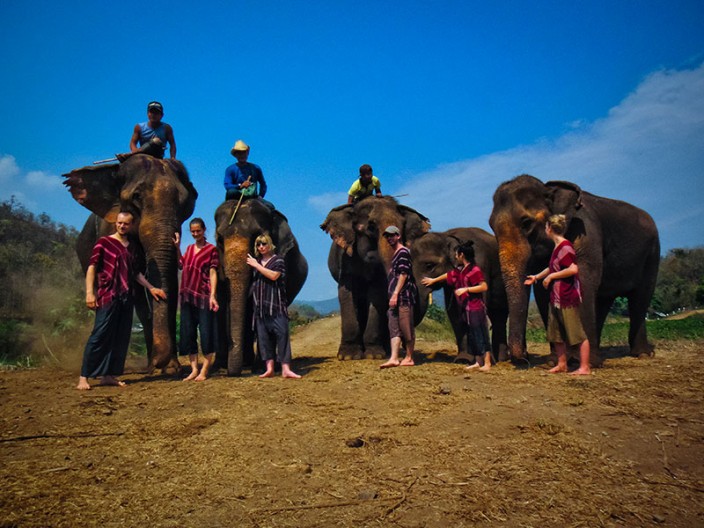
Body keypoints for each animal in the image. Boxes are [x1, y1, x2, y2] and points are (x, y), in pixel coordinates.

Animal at [63, 153, 197, 372]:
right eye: (137, 197)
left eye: (185, 203)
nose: (160, 362)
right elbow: (138, 290)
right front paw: (157, 367)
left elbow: (168, 279)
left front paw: (171, 367)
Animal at [212, 197, 306, 376]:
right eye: (219, 240)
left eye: (257, 236)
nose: (231, 373)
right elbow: (222, 304)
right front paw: (220, 365)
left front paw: (260, 367)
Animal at [324, 196, 432, 360]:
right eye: (371, 227)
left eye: (402, 225)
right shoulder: (346, 258)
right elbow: (346, 293)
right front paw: (348, 357)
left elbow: (377, 294)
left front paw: (374, 356)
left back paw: (386, 350)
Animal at [410, 227, 508, 364]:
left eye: (429, 265)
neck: (446, 236)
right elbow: (454, 312)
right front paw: (463, 359)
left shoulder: (480, 263)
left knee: (500, 315)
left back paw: (501, 359)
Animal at [490, 175, 660, 366]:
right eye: (491, 227)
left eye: (526, 223)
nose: (524, 358)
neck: (548, 188)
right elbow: (543, 291)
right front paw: (554, 361)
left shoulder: (586, 233)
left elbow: (583, 279)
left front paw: (585, 363)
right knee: (603, 301)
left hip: (652, 254)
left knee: (641, 297)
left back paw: (642, 354)